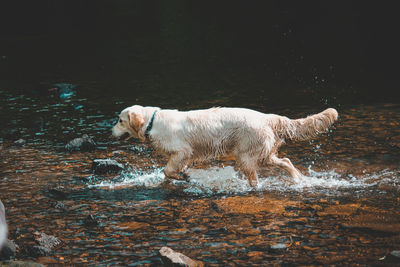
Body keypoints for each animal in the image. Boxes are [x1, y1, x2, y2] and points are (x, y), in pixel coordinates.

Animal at [111, 105, 338, 187]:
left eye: (120, 121)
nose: (110, 131)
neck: (152, 122)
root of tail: (267, 116)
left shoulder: (181, 151)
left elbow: (168, 170)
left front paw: (183, 177)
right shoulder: (181, 155)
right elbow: (170, 172)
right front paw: (180, 176)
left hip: (247, 154)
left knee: (256, 177)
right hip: (264, 153)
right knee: (286, 161)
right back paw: (297, 178)